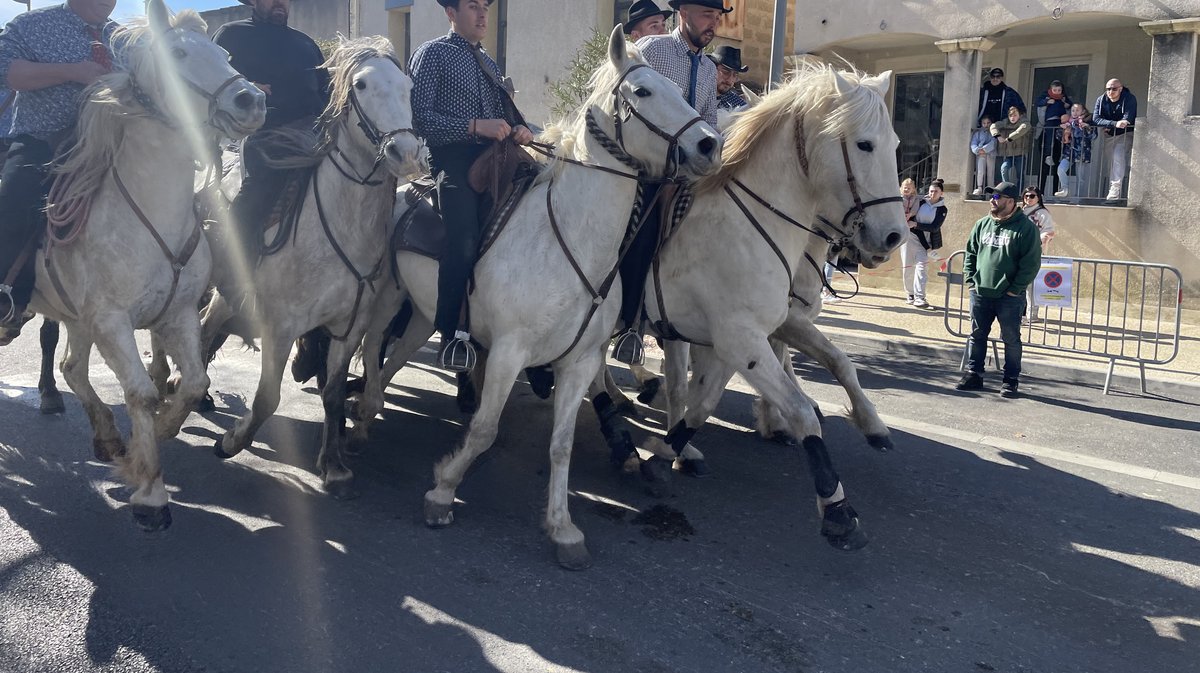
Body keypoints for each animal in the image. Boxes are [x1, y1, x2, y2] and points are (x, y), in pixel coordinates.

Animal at [29, 2, 268, 530]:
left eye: (224, 54)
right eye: (177, 53)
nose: (252, 100)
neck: (150, 211)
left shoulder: (176, 315)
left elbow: (192, 382)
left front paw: (155, 436)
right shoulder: (111, 321)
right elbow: (140, 391)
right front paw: (151, 493)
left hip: (78, 319)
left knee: (72, 368)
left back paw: (107, 438)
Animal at [205, 38, 427, 499]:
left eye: (407, 86)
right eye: (361, 85)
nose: (405, 153)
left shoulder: (348, 328)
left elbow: (333, 393)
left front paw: (334, 465)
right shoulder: (281, 327)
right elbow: (267, 399)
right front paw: (232, 441)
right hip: (224, 294)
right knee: (200, 331)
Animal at [350, 28, 715, 568]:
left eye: (677, 88)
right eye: (644, 91)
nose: (709, 143)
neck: (572, 240)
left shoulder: (580, 361)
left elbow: (561, 444)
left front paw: (563, 529)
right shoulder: (508, 352)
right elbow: (485, 429)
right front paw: (442, 491)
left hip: (423, 313)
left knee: (395, 356)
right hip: (386, 301)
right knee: (374, 346)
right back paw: (360, 418)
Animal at [633, 62, 902, 549]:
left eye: (893, 144)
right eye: (864, 144)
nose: (893, 237)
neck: (748, 221)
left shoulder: (747, 333)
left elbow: (708, 399)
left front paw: (666, 453)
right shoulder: (740, 336)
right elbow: (798, 408)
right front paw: (837, 509)